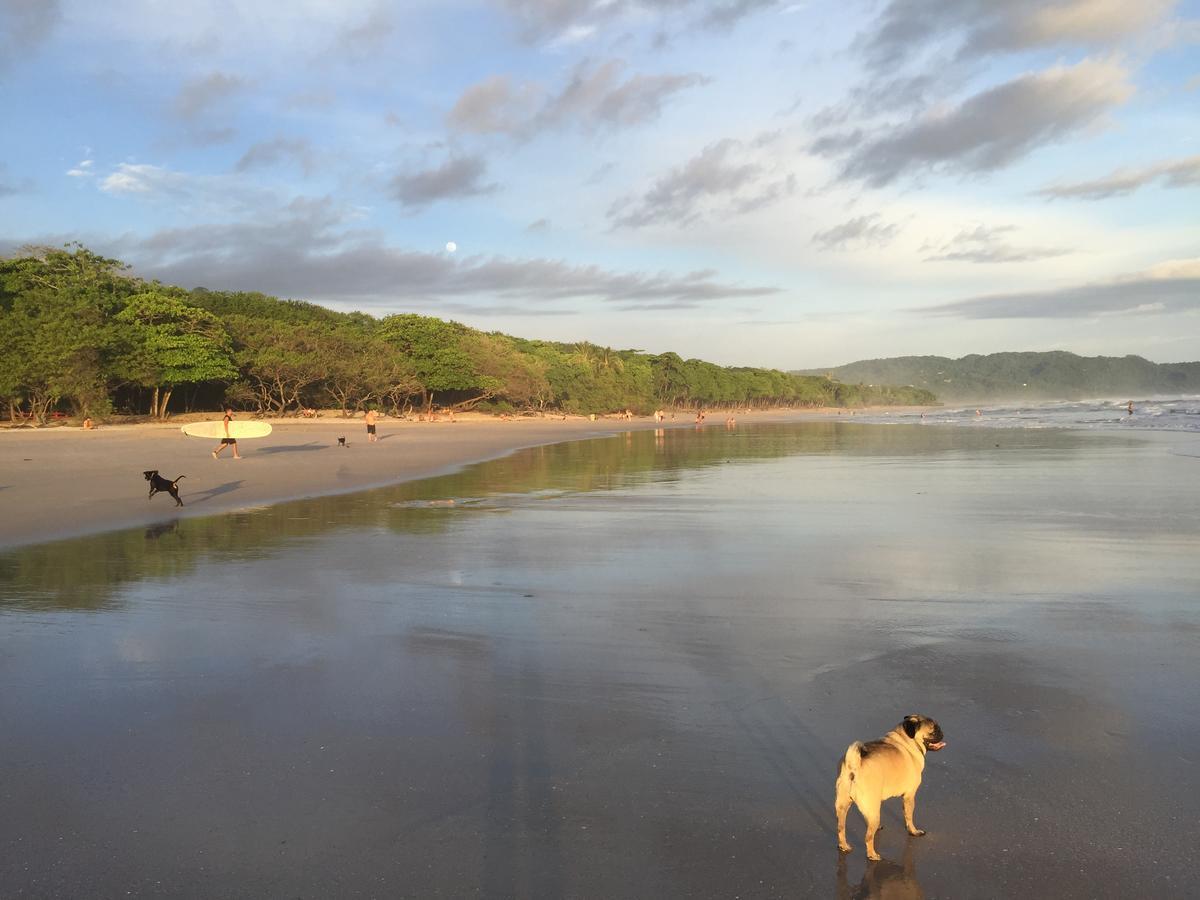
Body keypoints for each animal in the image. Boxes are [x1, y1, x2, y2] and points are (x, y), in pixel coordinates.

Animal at [835, 715, 945, 864]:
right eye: (934, 730)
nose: (942, 732)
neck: (906, 739)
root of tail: (853, 767)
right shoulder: (909, 796)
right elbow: (909, 816)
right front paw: (914, 831)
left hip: (843, 806)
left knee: (841, 829)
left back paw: (844, 846)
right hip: (872, 809)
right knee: (868, 837)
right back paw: (872, 855)